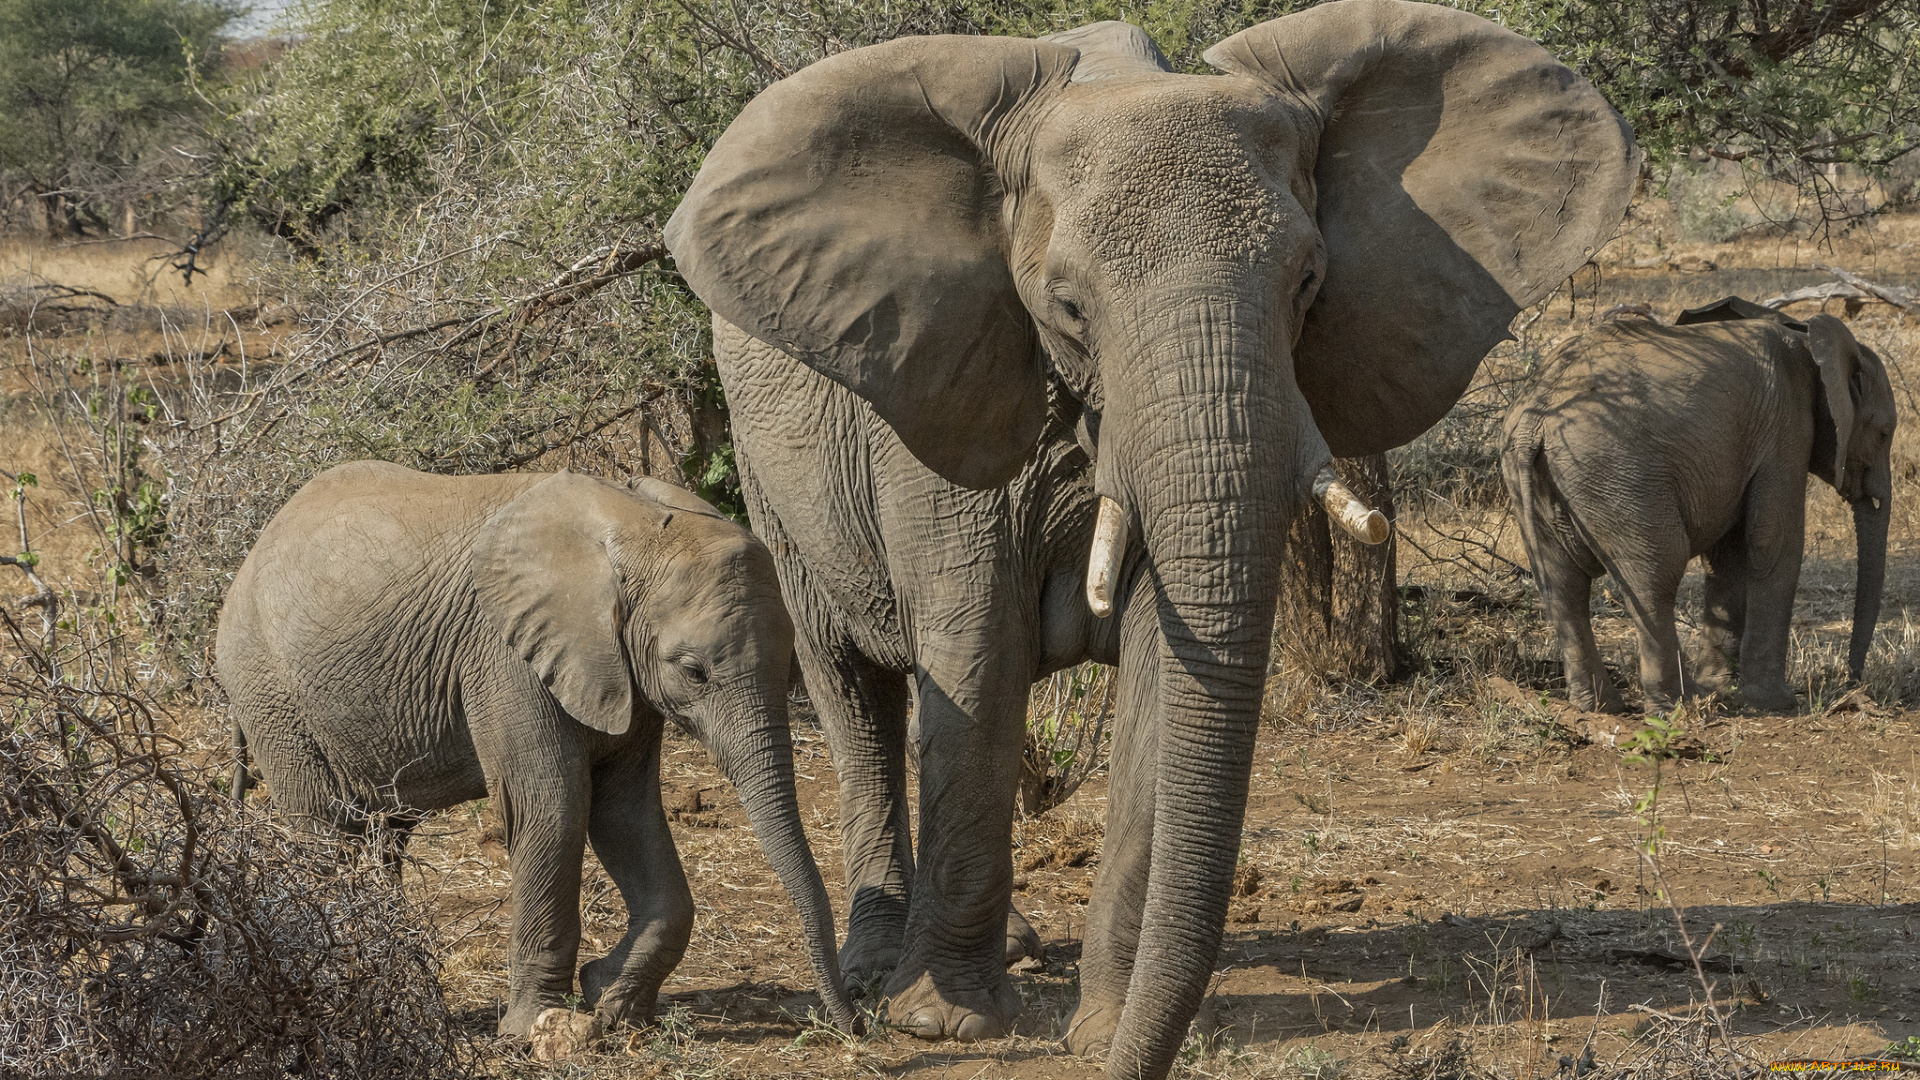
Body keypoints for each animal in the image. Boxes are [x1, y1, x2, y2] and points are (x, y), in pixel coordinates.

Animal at [216, 457, 864, 1037]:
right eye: (693, 671)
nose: (855, 1024)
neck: (635, 526)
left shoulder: (620, 671)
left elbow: (625, 814)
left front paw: (613, 1006)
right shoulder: (505, 658)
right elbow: (553, 811)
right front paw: (533, 1029)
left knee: (382, 839)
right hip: (271, 693)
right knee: (326, 830)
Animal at [660, 6, 1635, 1068]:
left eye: (1308, 282)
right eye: (1067, 306)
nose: (1120, 1057)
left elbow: (1166, 674)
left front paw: (1104, 1026)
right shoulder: (951, 395)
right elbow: (977, 660)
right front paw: (947, 1023)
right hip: (773, 466)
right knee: (856, 690)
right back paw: (881, 971)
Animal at [1497, 297, 1889, 711]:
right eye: (1883, 434)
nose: (1852, 684)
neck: (1805, 336)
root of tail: (1532, 422)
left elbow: (1729, 553)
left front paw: (1723, 686)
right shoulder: (1787, 427)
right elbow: (1773, 538)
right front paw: (1775, 703)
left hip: (1539, 478)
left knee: (1562, 585)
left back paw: (1600, 706)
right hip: (1615, 474)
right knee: (1656, 574)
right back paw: (1676, 702)